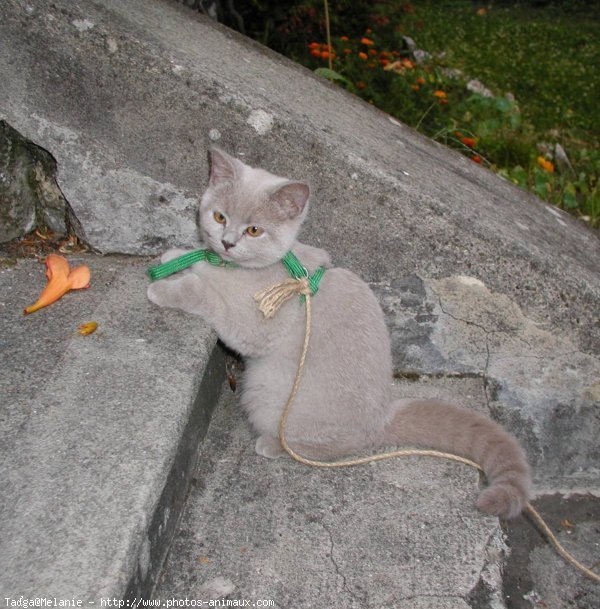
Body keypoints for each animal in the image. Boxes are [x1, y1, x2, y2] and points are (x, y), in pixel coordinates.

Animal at [148, 147, 532, 516]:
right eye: (219, 217)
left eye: (254, 230)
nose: (227, 242)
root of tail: (382, 418)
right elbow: (199, 263)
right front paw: (176, 255)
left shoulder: (252, 326)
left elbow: (203, 294)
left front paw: (164, 287)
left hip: (265, 393)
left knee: (324, 448)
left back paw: (272, 444)